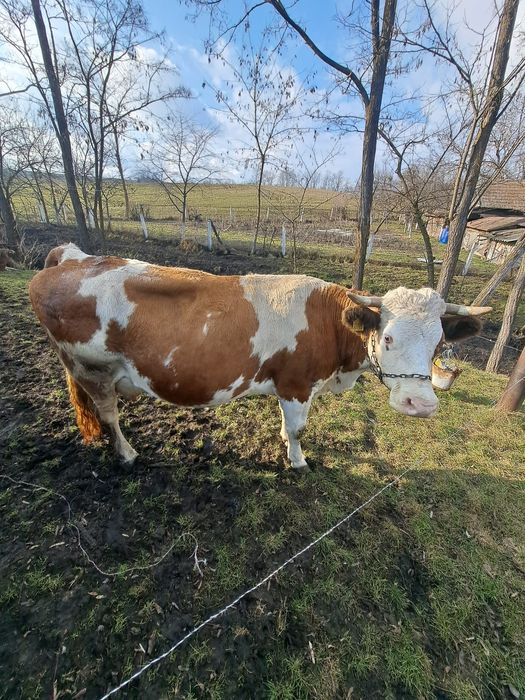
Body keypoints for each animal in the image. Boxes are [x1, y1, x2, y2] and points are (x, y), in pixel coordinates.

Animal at [29, 243, 491, 468]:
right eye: (389, 338)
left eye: (438, 344)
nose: (421, 404)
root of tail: (70, 259)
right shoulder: (297, 384)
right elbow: (299, 429)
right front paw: (298, 461)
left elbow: (287, 426)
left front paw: (287, 445)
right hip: (94, 370)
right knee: (109, 416)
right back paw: (126, 456)